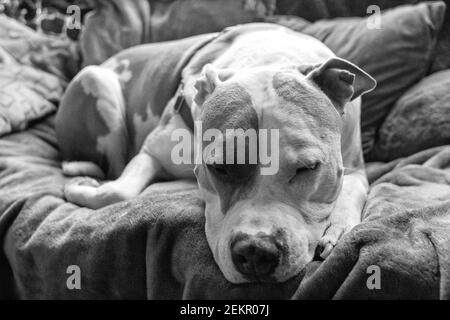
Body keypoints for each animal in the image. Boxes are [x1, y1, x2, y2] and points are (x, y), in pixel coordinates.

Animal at [58, 23, 378, 284]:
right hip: (95, 78)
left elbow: (351, 190)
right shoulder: (152, 152)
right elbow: (118, 190)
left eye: (308, 168)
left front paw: (338, 228)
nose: (256, 252)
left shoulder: (356, 167)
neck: (269, 59)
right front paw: (82, 189)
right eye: (220, 168)